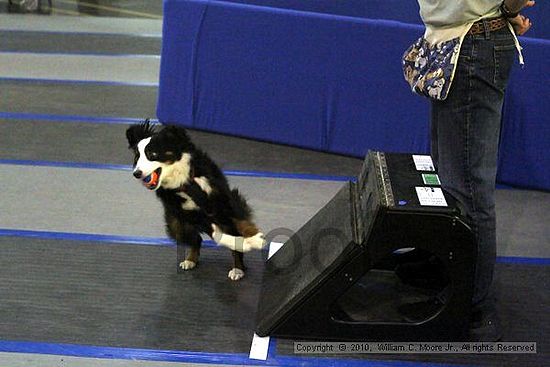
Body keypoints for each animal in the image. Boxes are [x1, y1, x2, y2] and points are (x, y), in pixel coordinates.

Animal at [128, 121, 270, 282]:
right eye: (137, 158)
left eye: (152, 154)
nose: (136, 173)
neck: (184, 182)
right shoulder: (190, 213)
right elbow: (216, 235)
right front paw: (244, 243)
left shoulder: (222, 197)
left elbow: (241, 222)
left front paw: (256, 239)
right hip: (176, 225)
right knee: (196, 240)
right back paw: (190, 260)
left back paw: (237, 269)